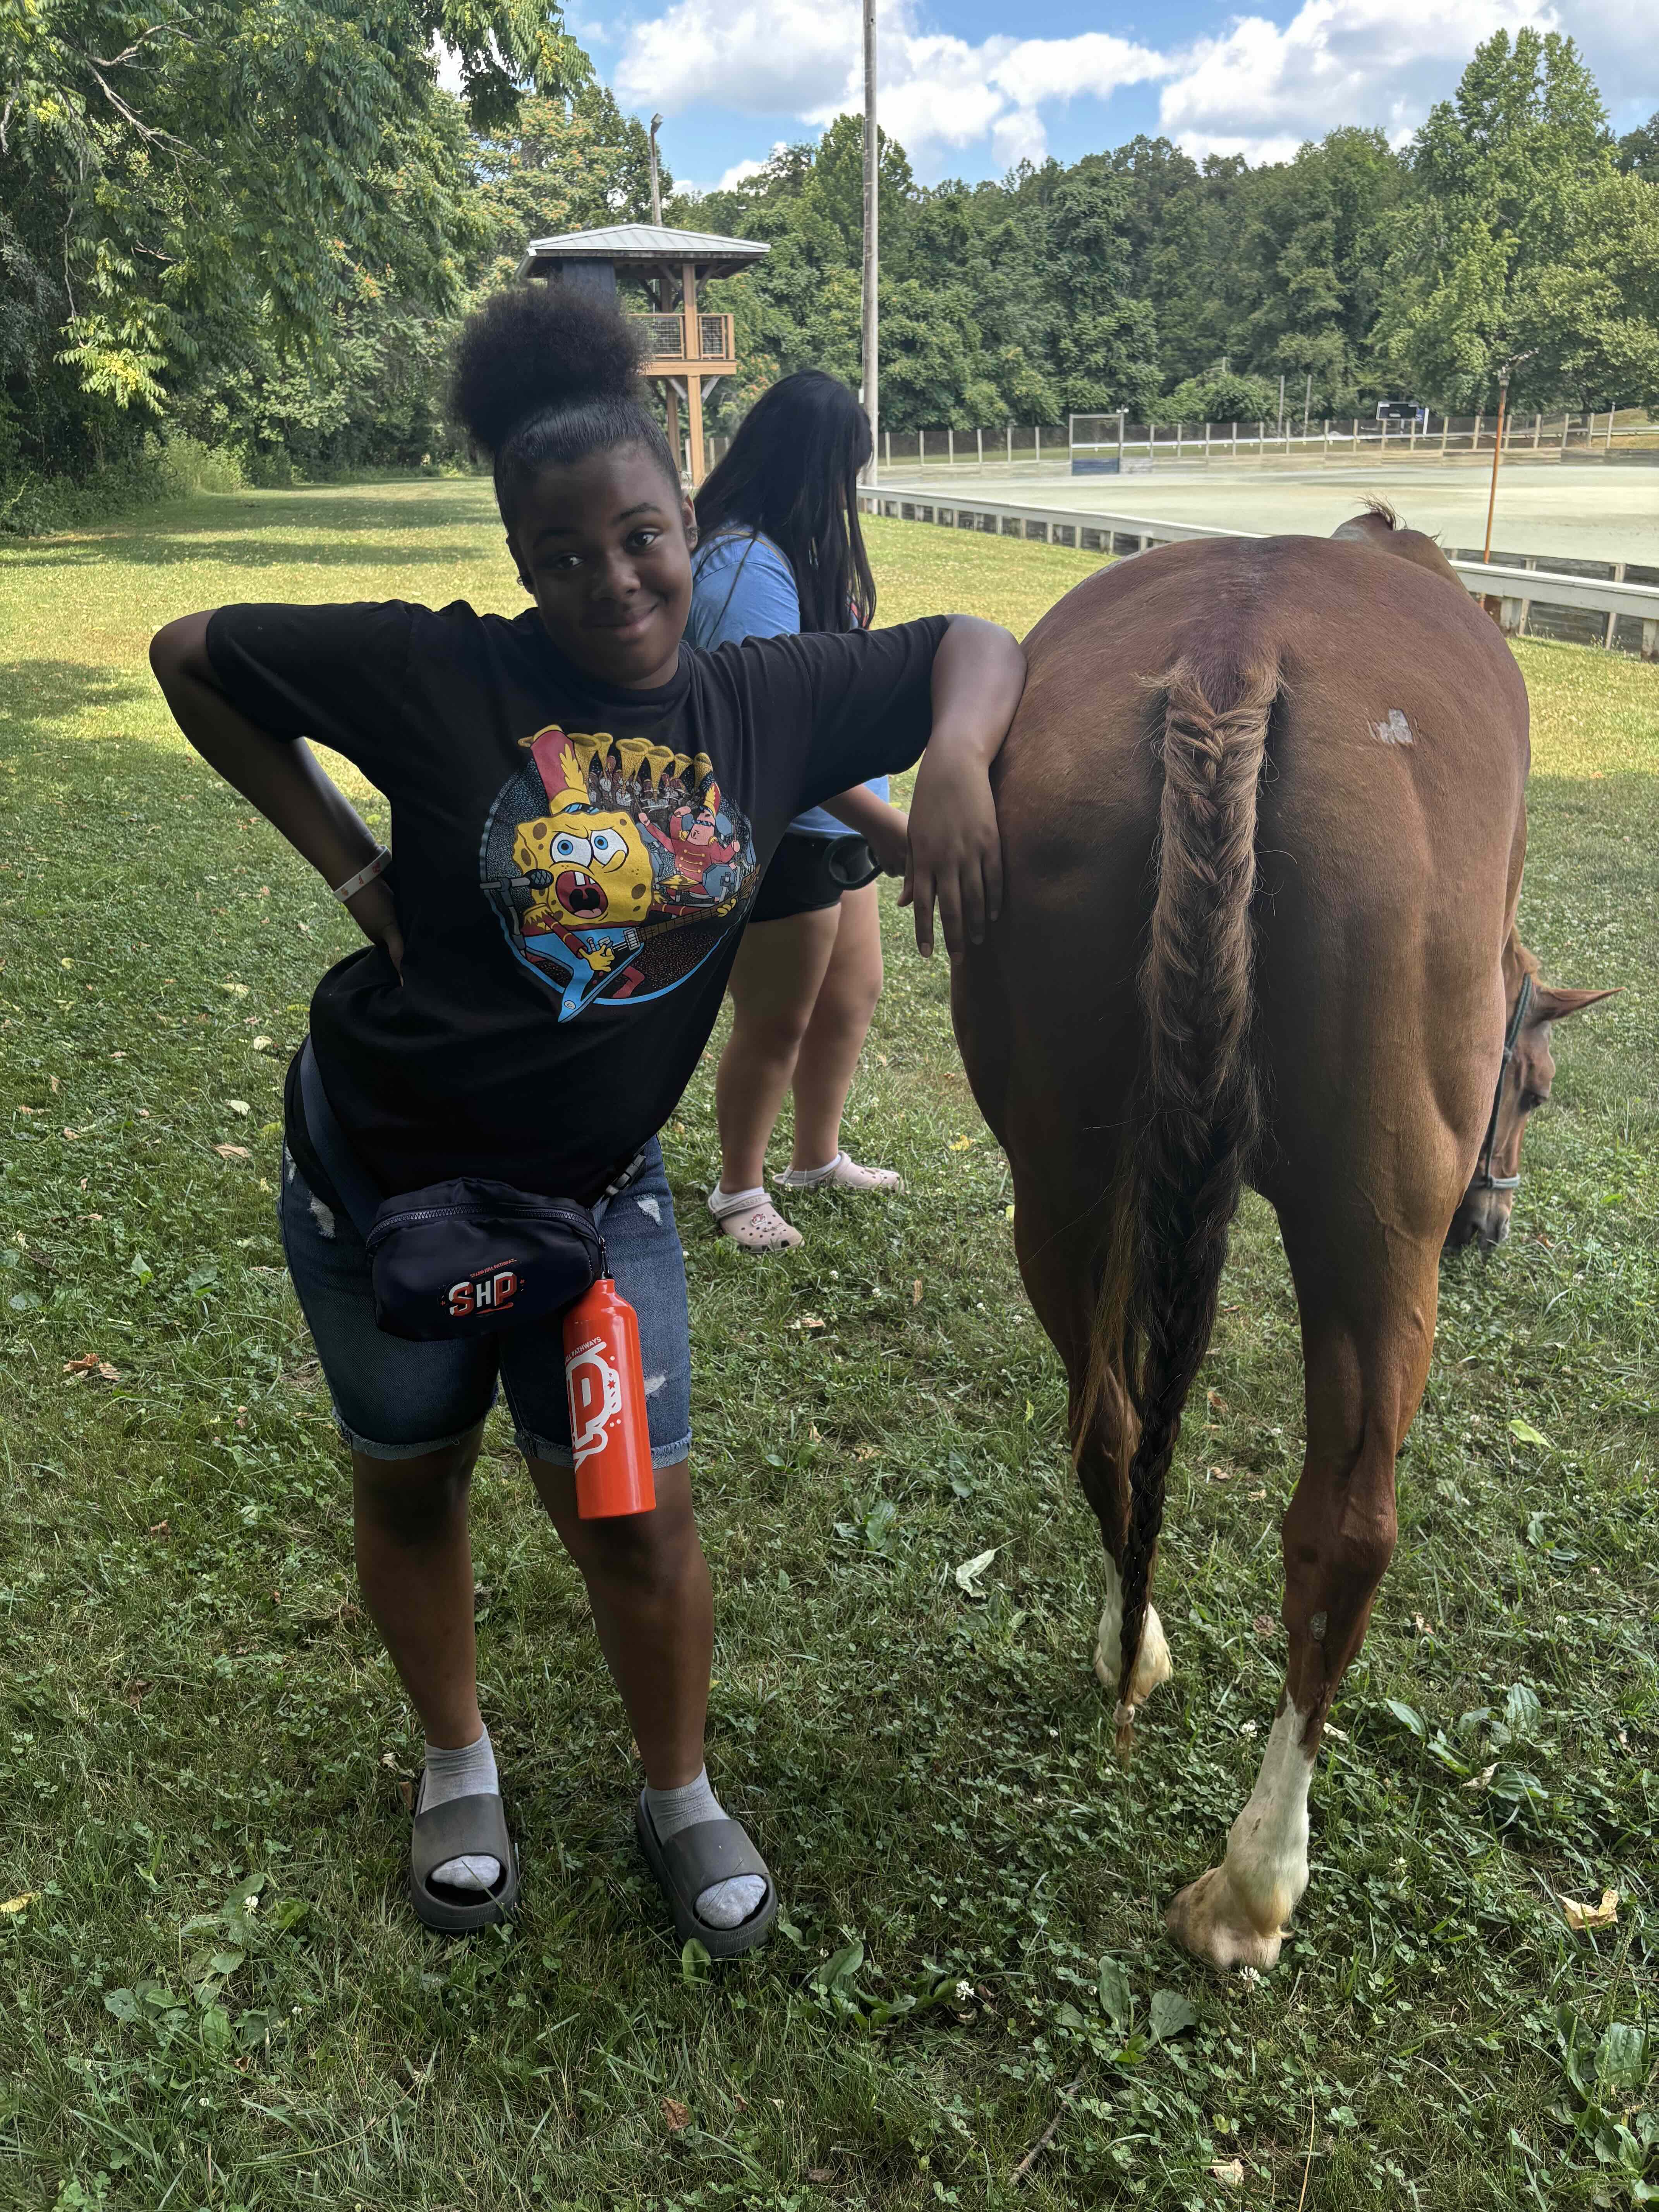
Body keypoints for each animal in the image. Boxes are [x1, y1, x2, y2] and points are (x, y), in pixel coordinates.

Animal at [955, 507, 1619, 1973]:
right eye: (1535, 1089)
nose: (1491, 1222)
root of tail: (1232, 655)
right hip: (1377, 1235)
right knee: (1346, 1531)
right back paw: (1257, 1878)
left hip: (1063, 1183)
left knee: (1108, 1424)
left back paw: (1129, 1651)